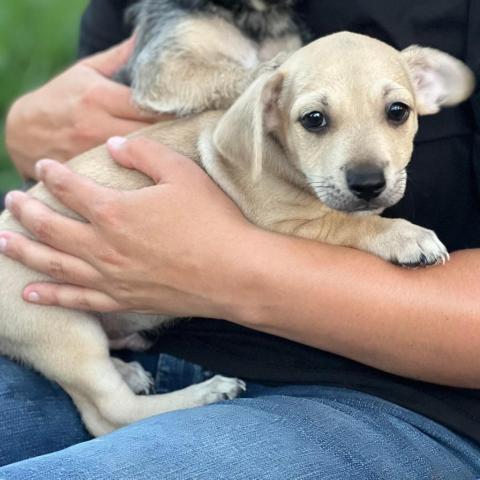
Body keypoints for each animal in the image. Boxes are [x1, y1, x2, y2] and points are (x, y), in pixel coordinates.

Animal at [0, 31, 472, 436]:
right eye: (314, 120)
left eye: (398, 112)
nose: (368, 182)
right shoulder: (287, 225)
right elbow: (350, 221)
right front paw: (404, 236)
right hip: (63, 327)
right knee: (108, 413)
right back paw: (205, 392)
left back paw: (129, 369)